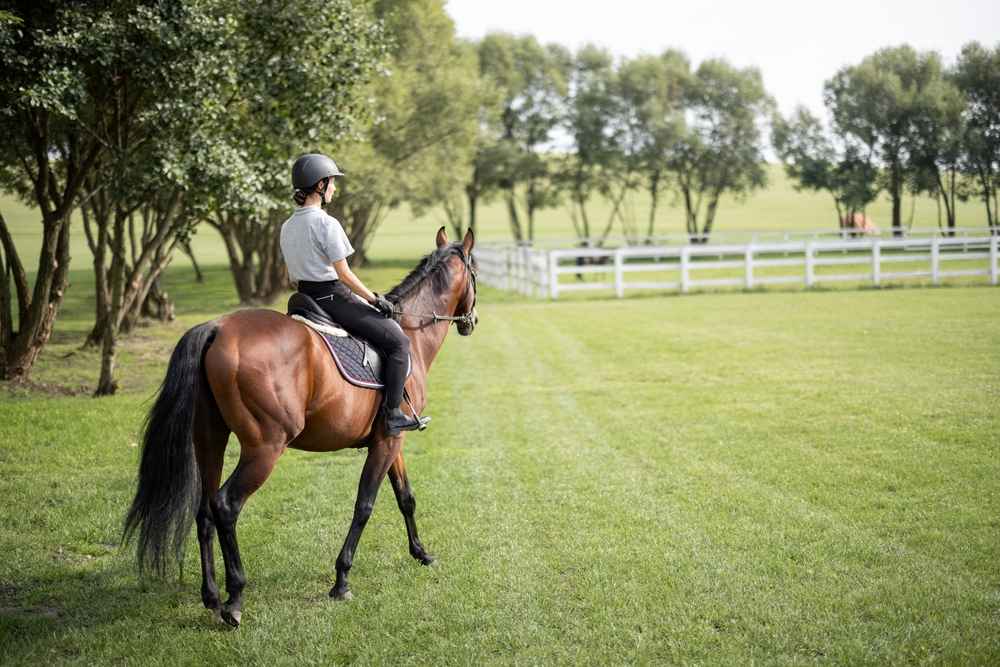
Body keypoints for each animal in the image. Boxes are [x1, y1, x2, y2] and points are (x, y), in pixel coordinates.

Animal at [123, 228, 478, 628]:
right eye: (475, 273)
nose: (471, 321)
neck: (410, 335)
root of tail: (216, 328)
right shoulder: (387, 441)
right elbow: (365, 505)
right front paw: (341, 580)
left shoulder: (391, 438)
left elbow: (406, 497)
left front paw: (421, 553)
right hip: (265, 448)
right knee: (226, 505)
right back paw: (235, 599)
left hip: (209, 439)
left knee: (204, 511)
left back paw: (211, 596)